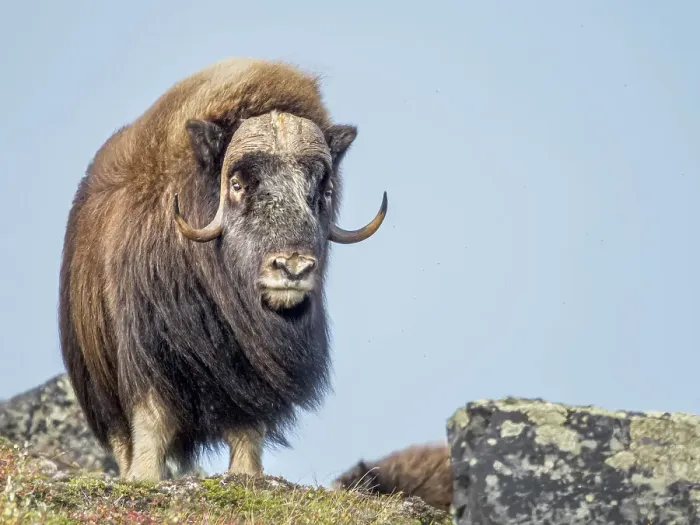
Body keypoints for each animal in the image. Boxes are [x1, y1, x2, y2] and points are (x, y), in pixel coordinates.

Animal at [58, 57, 388, 482]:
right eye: (237, 183)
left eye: (322, 190)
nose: (293, 267)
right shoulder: (148, 349)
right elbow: (152, 416)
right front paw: (144, 478)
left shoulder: (252, 372)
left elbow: (249, 427)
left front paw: (247, 475)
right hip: (98, 382)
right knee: (121, 433)